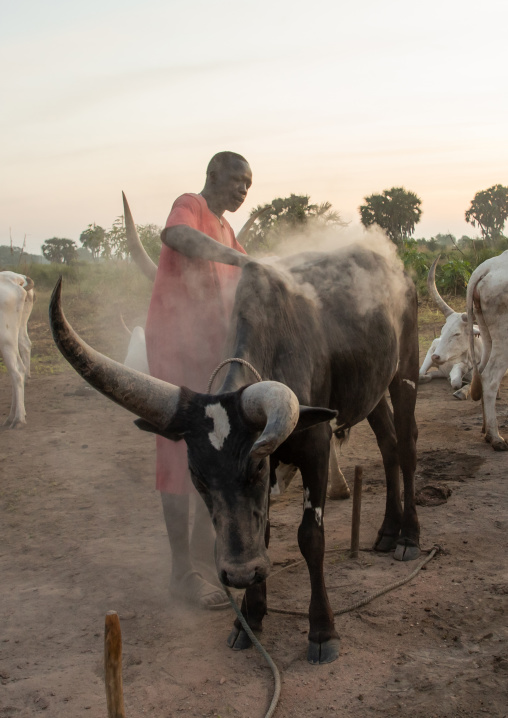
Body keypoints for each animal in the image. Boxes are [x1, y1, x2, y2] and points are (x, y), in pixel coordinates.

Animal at [50, 216, 420, 666]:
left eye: (256, 466)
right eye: (197, 476)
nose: (239, 573)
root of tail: (395, 266)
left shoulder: (315, 444)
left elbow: (310, 537)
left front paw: (322, 630)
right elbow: (261, 533)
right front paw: (250, 619)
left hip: (405, 368)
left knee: (406, 445)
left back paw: (408, 537)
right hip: (370, 389)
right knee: (387, 445)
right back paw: (386, 531)